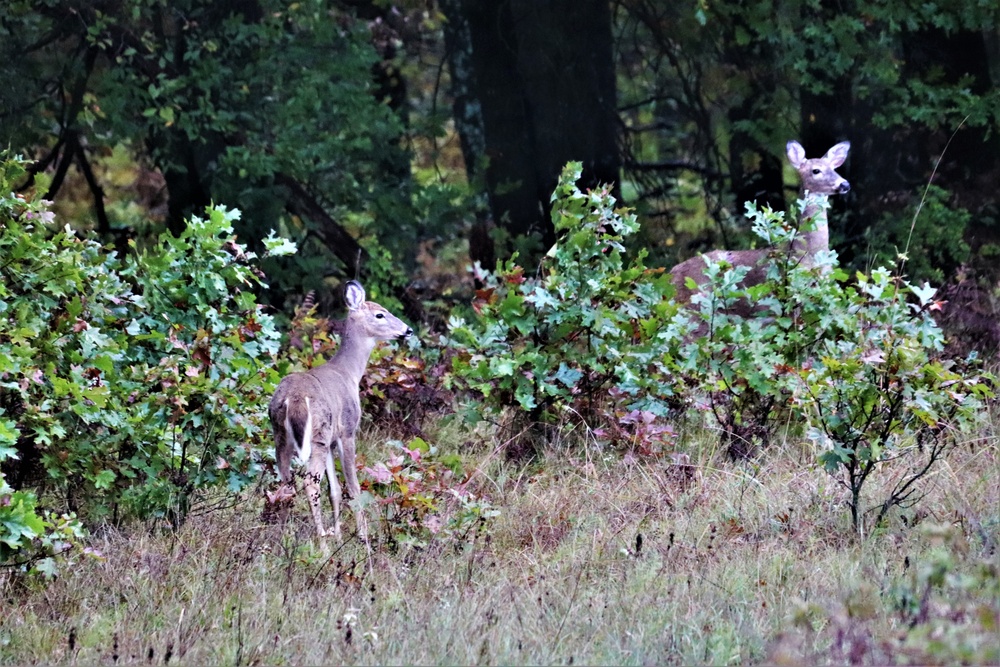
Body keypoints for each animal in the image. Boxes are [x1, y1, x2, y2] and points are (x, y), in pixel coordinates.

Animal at [268, 280, 412, 544]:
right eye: (380, 314)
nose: (408, 330)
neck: (349, 373)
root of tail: (293, 399)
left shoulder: (333, 441)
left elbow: (334, 490)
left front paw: (338, 533)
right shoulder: (347, 431)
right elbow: (353, 487)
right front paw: (362, 537)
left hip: (281, 436)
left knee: (286, 482)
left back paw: (285, 536)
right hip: (318, 435)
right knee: (309, 483)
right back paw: (322, 542)